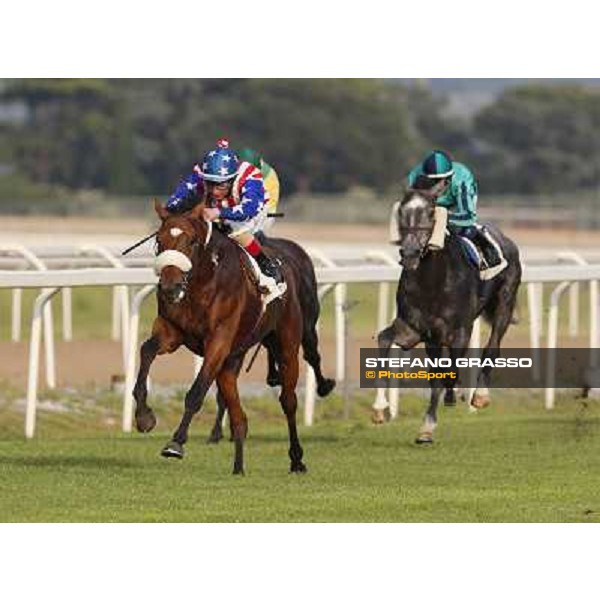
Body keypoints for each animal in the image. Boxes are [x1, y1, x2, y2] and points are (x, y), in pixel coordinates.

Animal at [132, 200, 332, 474]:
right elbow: (146, 351)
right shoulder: (171, 332)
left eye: (192, 241)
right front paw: (144, 416)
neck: (202, 285)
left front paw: (176, 442)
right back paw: (238, 467)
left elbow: (196, 391)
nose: (170, 287)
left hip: (288, 344)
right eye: (159, 241)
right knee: (240, 417)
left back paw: (297, 458)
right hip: (230, 363)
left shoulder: (218, 342)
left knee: (289, 400)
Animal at [380, 185, 520, 442]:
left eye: (431, 212)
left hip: (505, 303)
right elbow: (390, 343)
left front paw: (451, 400)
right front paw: (392, 414)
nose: (410, 252)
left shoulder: (460, 331)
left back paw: (480, 395)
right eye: (402, 211)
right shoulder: (418, 330)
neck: (433, 281)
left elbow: (451, 370)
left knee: (492, 345)